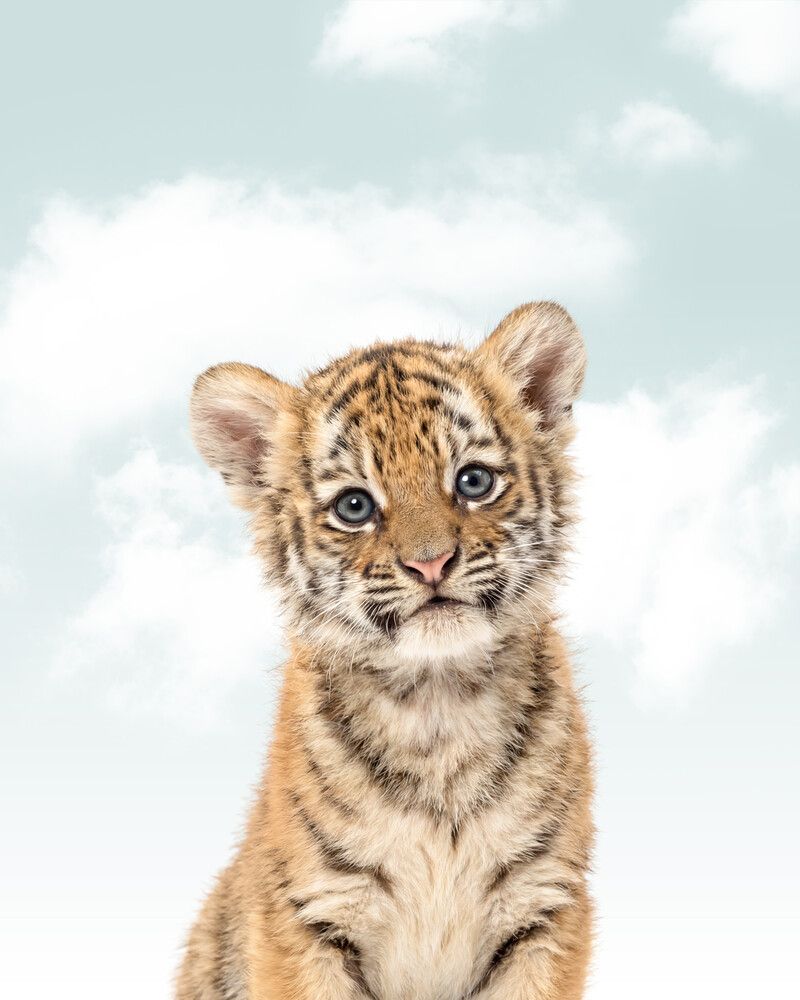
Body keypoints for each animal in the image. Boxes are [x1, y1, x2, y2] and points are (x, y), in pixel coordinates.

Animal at [175, 301, 594, 1000]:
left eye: (473, 481)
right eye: (354, 506)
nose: (431, 563)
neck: (439, 703)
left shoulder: (545, 906)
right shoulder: (308, 915)